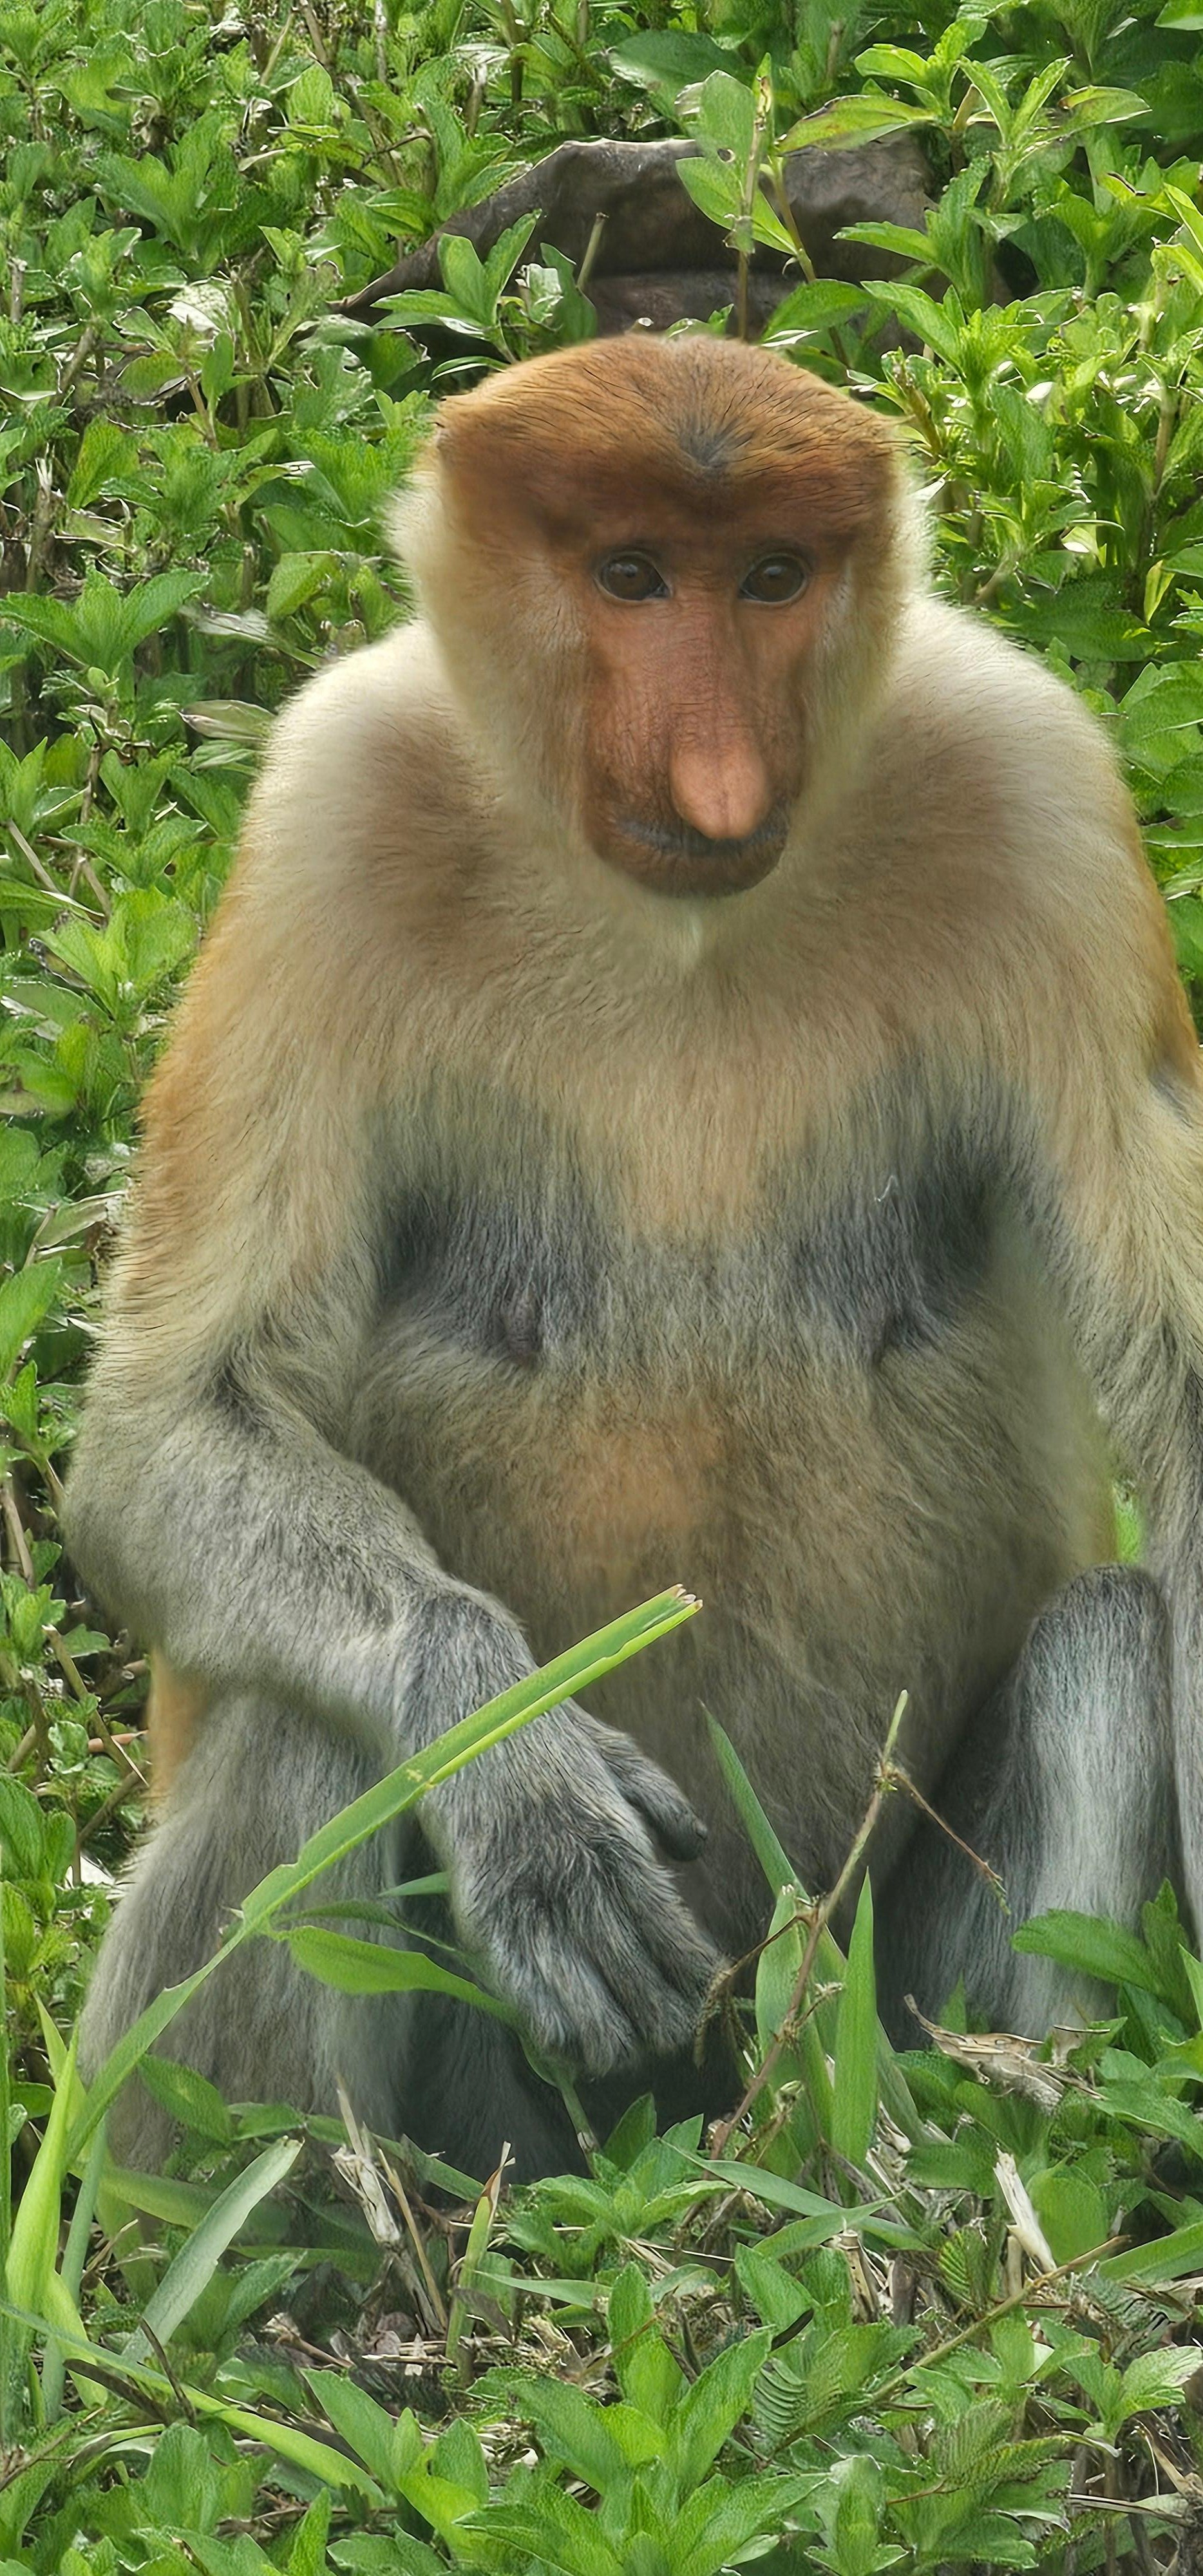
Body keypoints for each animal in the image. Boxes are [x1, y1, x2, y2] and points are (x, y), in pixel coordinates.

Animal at [68, 331, 1199, 2183]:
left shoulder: (1039, 787)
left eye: (771, 576)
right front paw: (514, 1768)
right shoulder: (326, 815)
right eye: (628, 575)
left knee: (1107, 1640)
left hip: (860, 2000)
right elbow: (171, 1431)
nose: (719, 784)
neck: (675, 924)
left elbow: (1185, 1409)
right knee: (304, 1726)